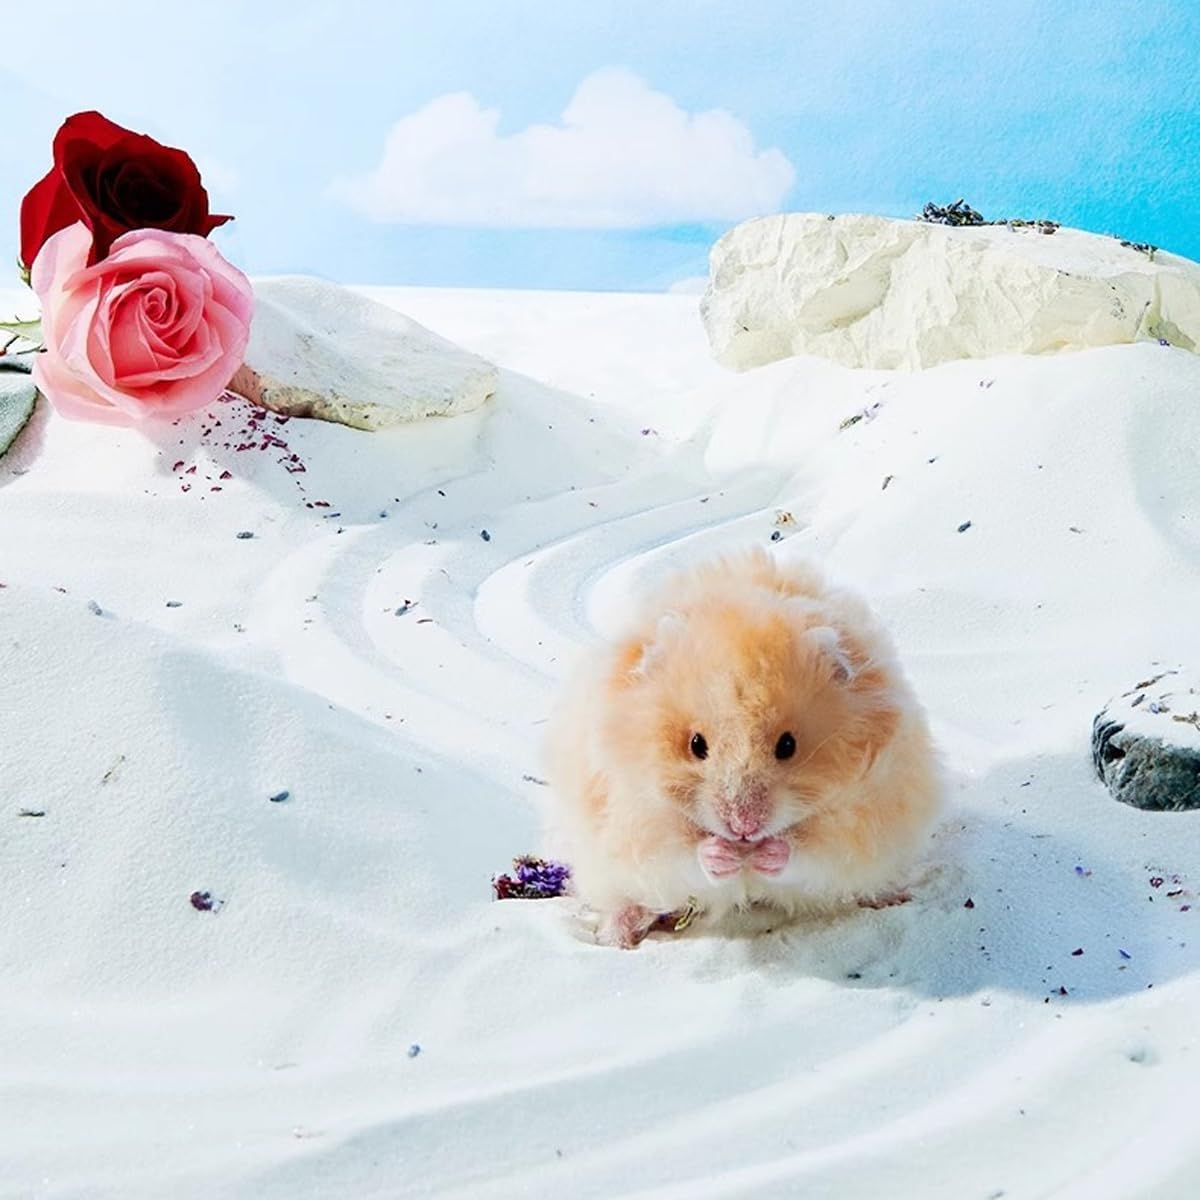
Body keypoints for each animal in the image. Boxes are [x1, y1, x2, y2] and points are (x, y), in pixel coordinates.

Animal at [543, 548, 943, 948]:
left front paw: (766, 854)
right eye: (696, 744)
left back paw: (894, 896)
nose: (742, 828)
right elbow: (682, 855)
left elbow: (808, 853)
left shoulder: (860, 820)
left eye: (788, 745)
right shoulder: (638, 822)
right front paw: (723, 856)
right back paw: (616, 938)